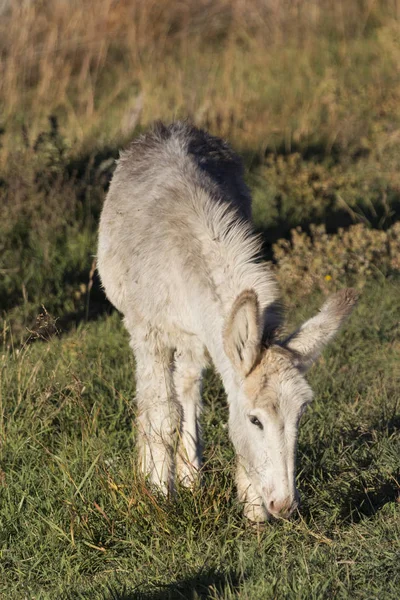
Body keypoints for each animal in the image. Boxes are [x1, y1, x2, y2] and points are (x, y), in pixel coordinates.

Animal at [97, 122, 356, 520]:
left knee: (188, 391)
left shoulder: (208, 338)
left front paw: (252, 510)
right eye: (255, 420)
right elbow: (163, 414)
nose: (285, 506)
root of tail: (172, 126)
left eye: (301, 415)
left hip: (193, 342)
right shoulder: (149, 335)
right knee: (159, 400)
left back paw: (191, 478)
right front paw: (158, 494)